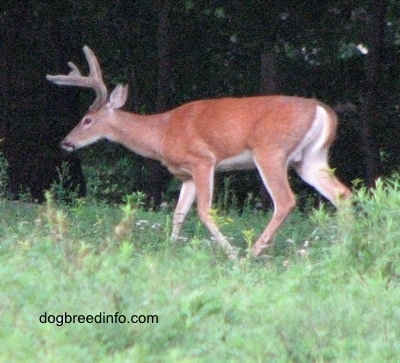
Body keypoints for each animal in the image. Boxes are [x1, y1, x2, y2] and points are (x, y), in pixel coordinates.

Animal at [47, 47, 352, 260]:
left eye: (87, 120)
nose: (65, 142)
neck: (161, 132)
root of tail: (323, 110)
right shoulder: (186, 174)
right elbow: (178, 213)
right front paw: (170, 249)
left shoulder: (202, 160)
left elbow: (204, 211)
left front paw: (230, 253)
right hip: (311, 158)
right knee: (342, 194)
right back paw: (345, 244)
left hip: (270, 151)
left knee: (286, 201)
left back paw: (252, 253)